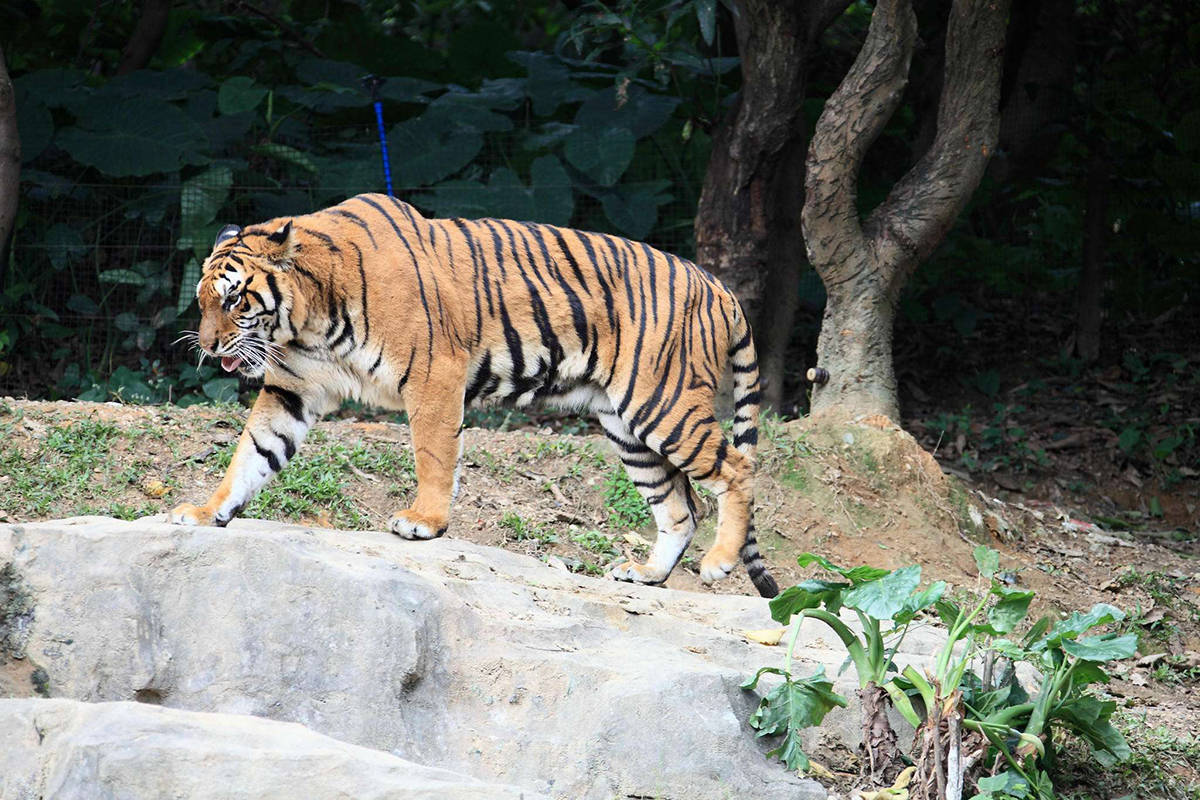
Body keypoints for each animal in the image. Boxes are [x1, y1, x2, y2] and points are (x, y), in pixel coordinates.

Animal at [174, 191, 782, 594]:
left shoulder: (433, 373)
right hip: (626, 426)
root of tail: (716, 284)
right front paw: (206, 513)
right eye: (202, 301)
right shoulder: (292, 388)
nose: (206, 346)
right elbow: (251, 454)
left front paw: (423, 522)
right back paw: (646, 574)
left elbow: (433, 455)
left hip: (661, 402)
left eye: (233, 300)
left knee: (736, 470)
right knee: (681, 506)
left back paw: (719, 563)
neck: (306, 317)